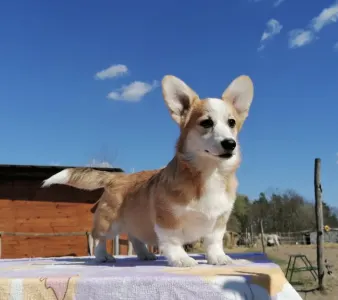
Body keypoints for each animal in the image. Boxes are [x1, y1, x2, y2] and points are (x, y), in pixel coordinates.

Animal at [41, 74, 254, 268]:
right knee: (99, 238)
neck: (210, 172)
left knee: (135, 237)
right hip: (109, 223)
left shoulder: (218, 221)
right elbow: (173, 241)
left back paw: (144, 254)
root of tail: (119, 177)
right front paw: (181, 259)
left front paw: (218, 258)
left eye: (232, 122)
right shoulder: (167, 219)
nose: (230, 144)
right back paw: (103, 256)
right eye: (206, 123)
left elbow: (214, 242)